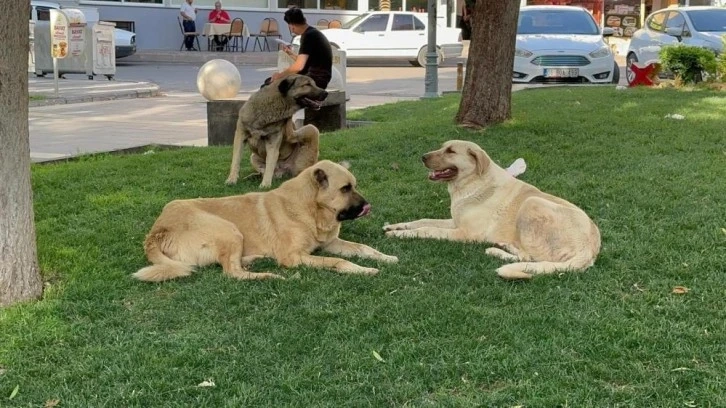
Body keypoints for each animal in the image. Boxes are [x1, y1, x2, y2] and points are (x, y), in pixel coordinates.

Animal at [135, 161, 398, 282]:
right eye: (345, 189)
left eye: (354, 186)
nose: (368, 206)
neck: (309, 209)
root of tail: (157, 231)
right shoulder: (294, 257)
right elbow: (338, 262)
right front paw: (364, 270)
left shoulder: (330, 243)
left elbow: (364, 248)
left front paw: (385, 257)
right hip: (228, 229)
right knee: (232, 273)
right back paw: (269, 276)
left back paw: (252, 260)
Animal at [384, 141, 600, 280]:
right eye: (443, 147)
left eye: (451, 151)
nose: (422, 157)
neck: (472, 183)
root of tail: (589, 250)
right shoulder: (454, 222)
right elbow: (422, 220)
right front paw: (395, 226)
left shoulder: (465, 233)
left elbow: (428, 229)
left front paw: (400, 235)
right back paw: (503, 246)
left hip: (532, 202)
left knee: (530, 258)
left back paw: (498, 250)